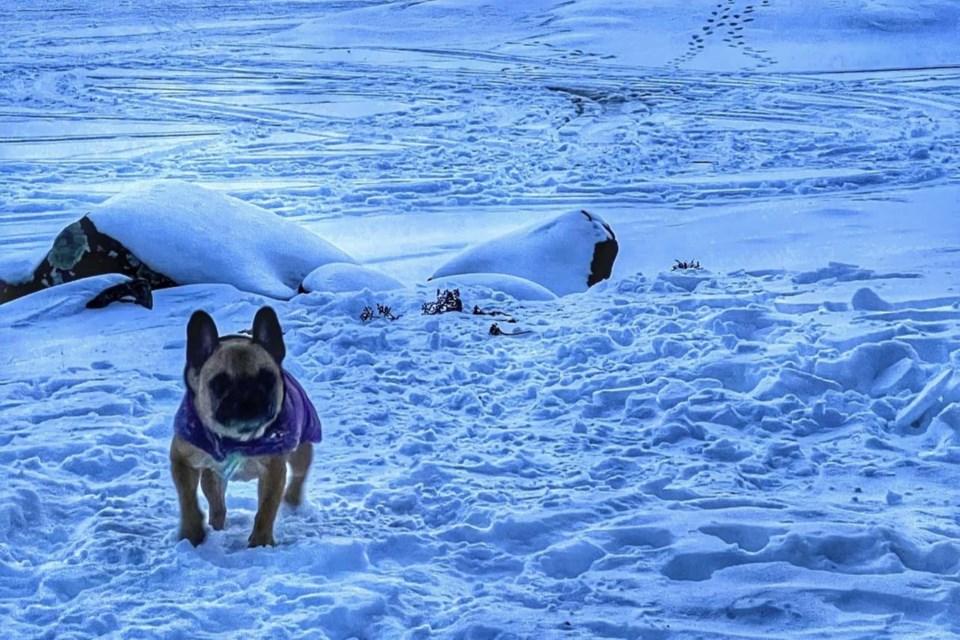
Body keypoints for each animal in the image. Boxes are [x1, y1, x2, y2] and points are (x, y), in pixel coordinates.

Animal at [172, 308, 322, 548]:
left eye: (267, 379)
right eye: (219, 383)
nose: (247, 396)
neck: (236, 439)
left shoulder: (273, 470)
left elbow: (266, 509)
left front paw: (261, 543)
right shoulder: (182, 460)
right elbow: (187, 500)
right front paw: (192, 533)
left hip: (301, 451)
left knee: (299, 474)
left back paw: (292, 500)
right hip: (212, 476)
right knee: (217, 503)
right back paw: (216, 525)